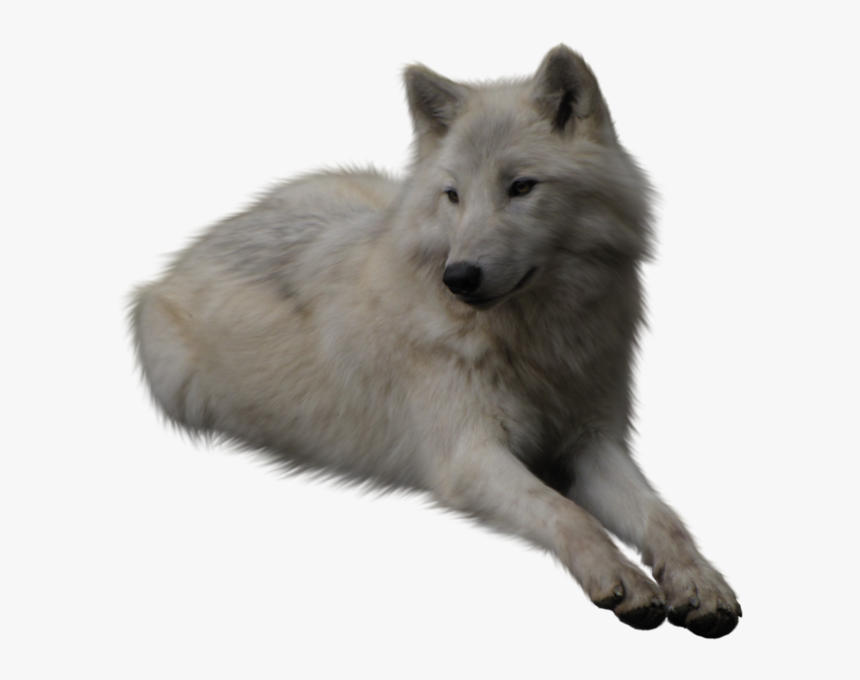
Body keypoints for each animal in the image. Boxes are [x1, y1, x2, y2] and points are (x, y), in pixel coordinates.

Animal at [131, 45, 740, 637]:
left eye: (521, 187)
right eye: (454, 195)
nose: (459, 277)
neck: (536, 342)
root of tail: (207, 237)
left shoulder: (591, 440)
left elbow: (664, 517)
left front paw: (698, 583)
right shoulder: (468, 456)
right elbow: (567, 513)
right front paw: (623, 579)